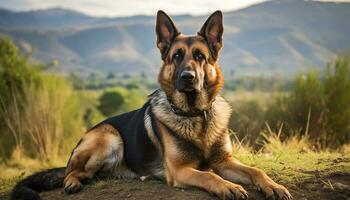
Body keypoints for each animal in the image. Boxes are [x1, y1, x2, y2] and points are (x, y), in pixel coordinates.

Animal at [10, 10, 292, 200]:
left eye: (200, 56)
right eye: (176, 56)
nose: (187, 77)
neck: (194, 115)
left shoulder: (225, 161)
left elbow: (256, 171)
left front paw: (273, 186)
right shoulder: (180, 170)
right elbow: (208, 175)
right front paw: (229, 187)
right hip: (109, 138)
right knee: (73, 172)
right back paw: (72, 183)